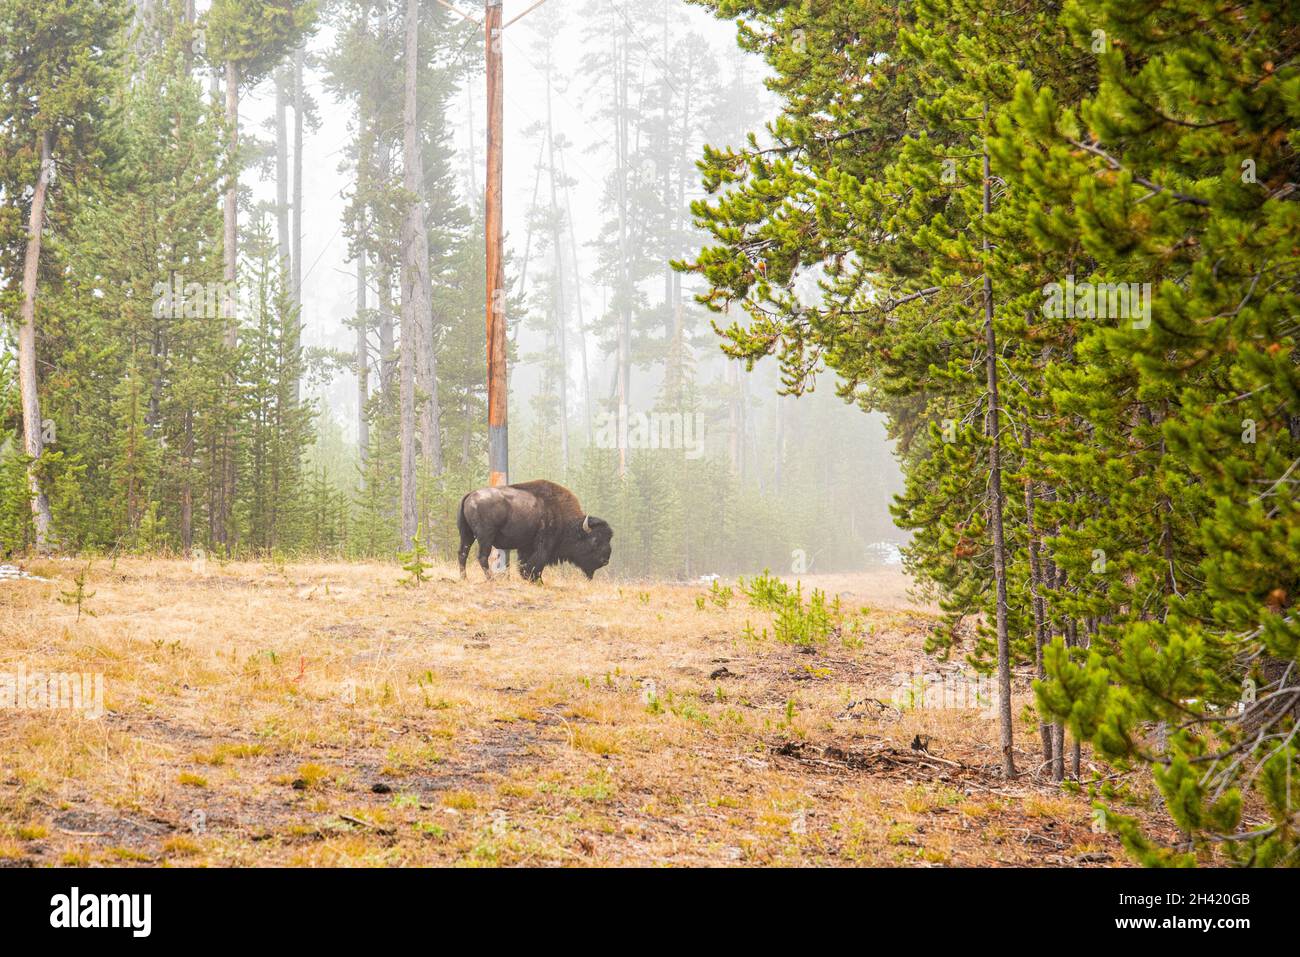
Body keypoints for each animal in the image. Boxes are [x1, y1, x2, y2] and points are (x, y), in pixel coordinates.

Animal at [457, 479, 613, 582]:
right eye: (595, 540)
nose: (605, 560)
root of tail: (470, 495)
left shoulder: (526, 547)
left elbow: (525, 563)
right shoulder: (543, 546)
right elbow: (536, 564)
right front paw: (537, 580)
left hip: (467, 534)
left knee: (462, 553)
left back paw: (464, 578)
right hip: (485, 537)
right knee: (482, 556)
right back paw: (491, 579)